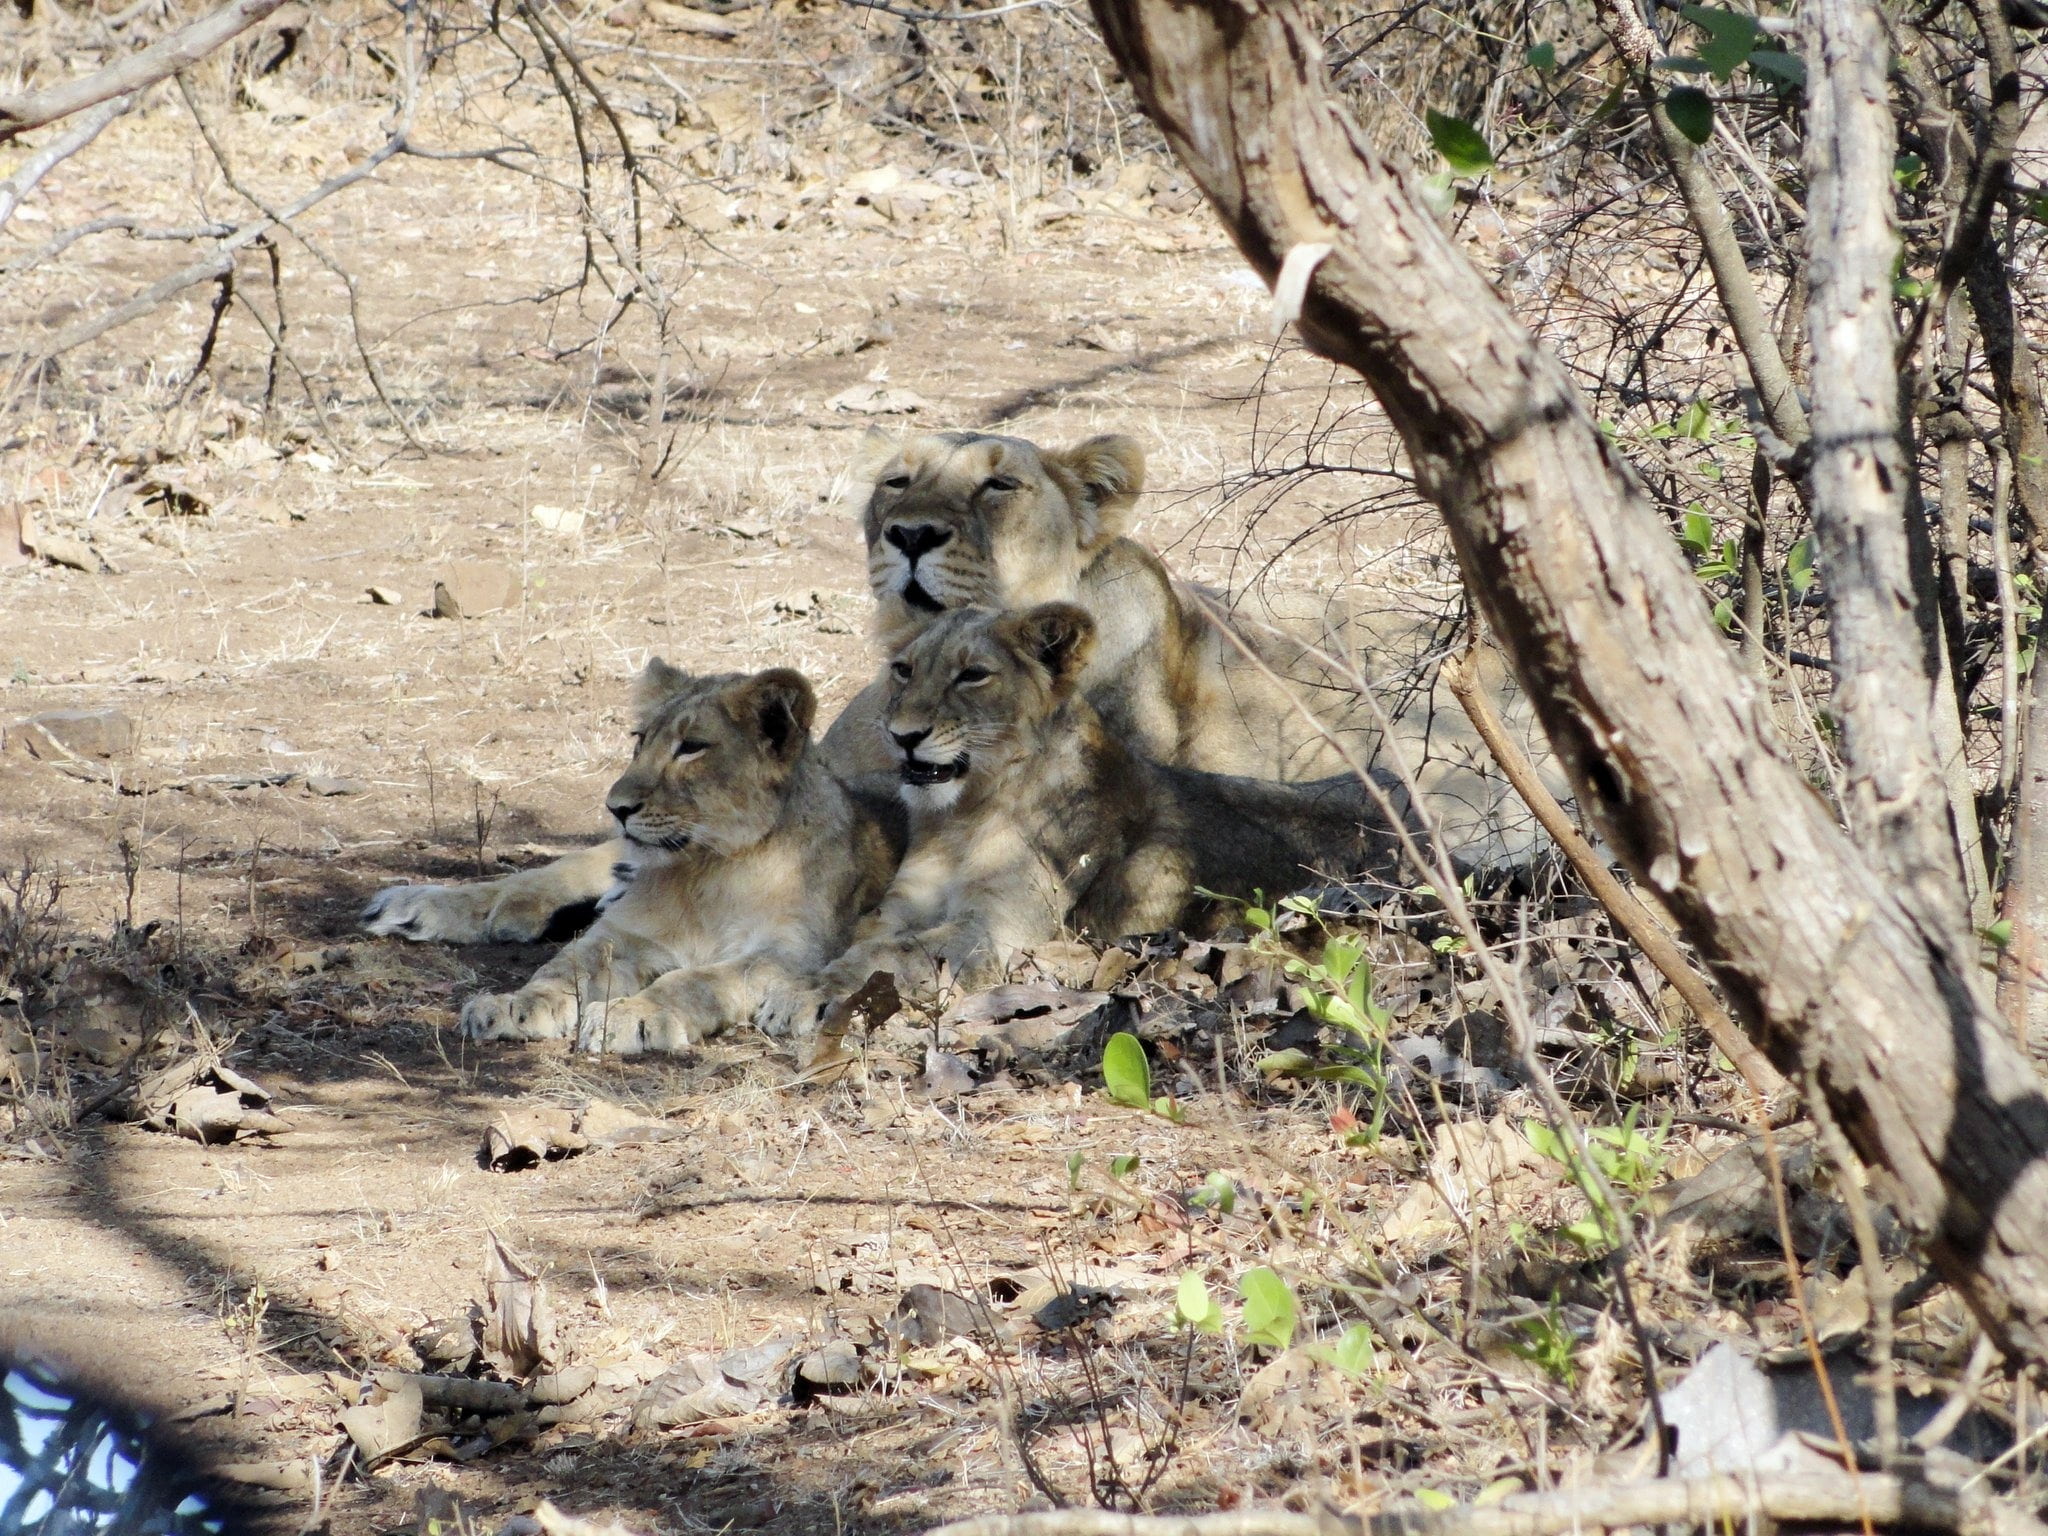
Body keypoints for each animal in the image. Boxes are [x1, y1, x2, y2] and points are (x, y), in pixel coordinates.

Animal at [455, 662, 900, 1054]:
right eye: (640, 739)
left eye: (691, 747)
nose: (616, 808)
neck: (707, 869)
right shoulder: (622, 934)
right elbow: (565, 966)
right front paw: (515, 1004)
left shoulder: (787, 954)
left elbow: (693, 981)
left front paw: (634, 1014)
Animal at [817, 602, 1408, 1002]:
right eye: (904, 669)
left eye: (973, 675)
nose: (902, 736)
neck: (963, 813)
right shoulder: (904, 902)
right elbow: (872, 935)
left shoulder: (994, 930)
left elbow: (896, 953)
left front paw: (817, 994)